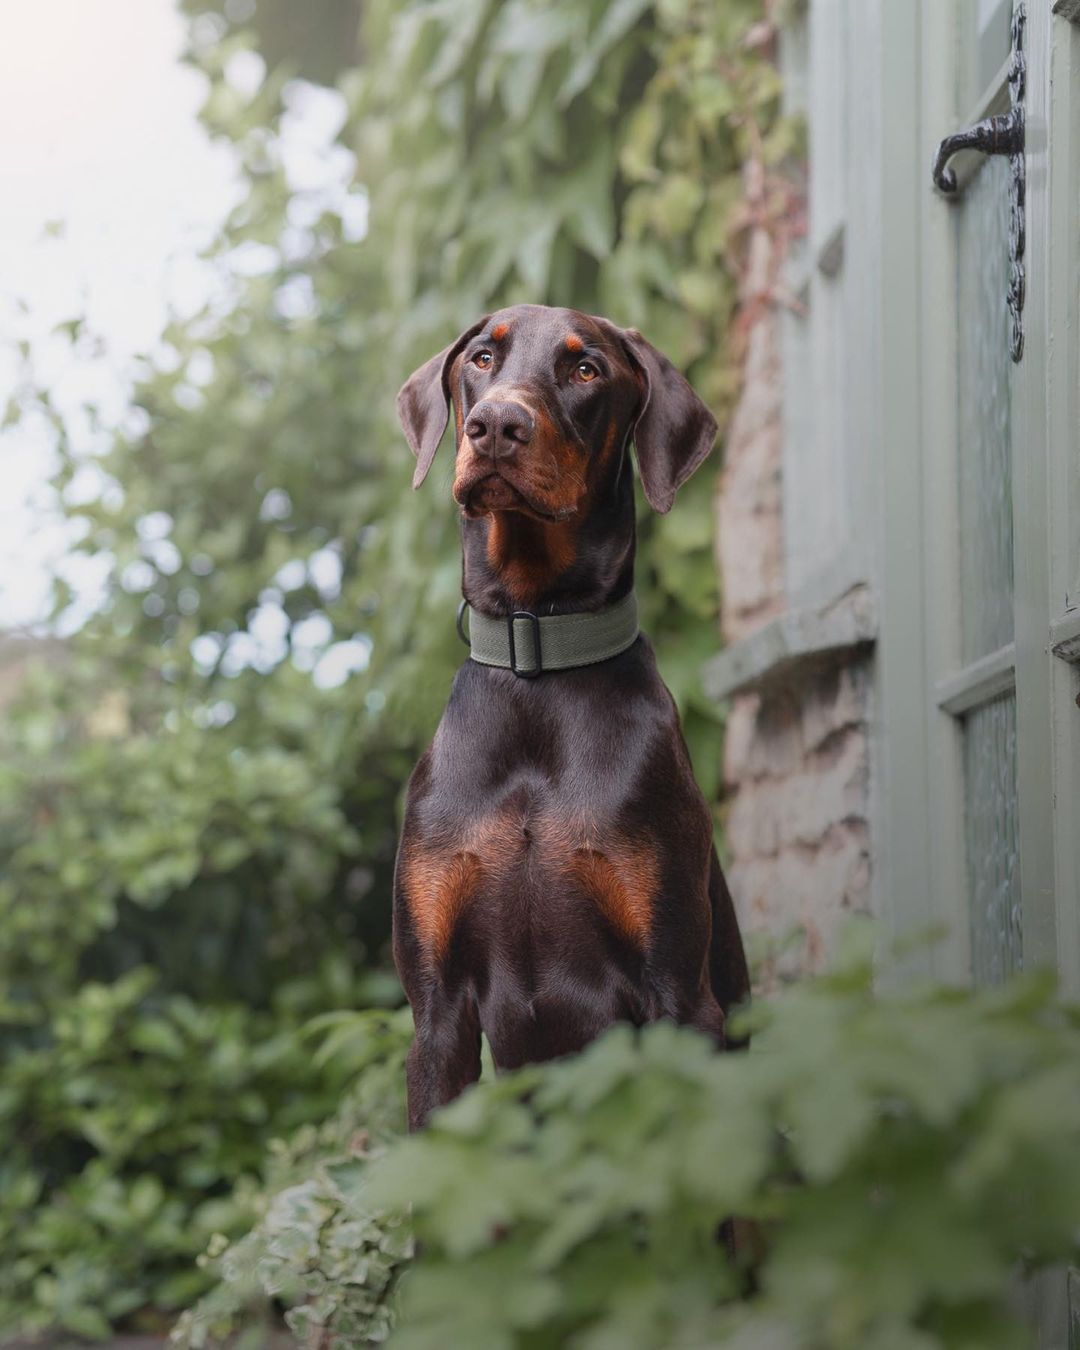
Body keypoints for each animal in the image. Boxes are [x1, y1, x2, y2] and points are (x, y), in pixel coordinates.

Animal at [391, 306, 750, 1128]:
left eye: (586, 370)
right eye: (481, 358)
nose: (496, 425)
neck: (539, 666)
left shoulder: (680, 996)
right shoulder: (436, 1015)